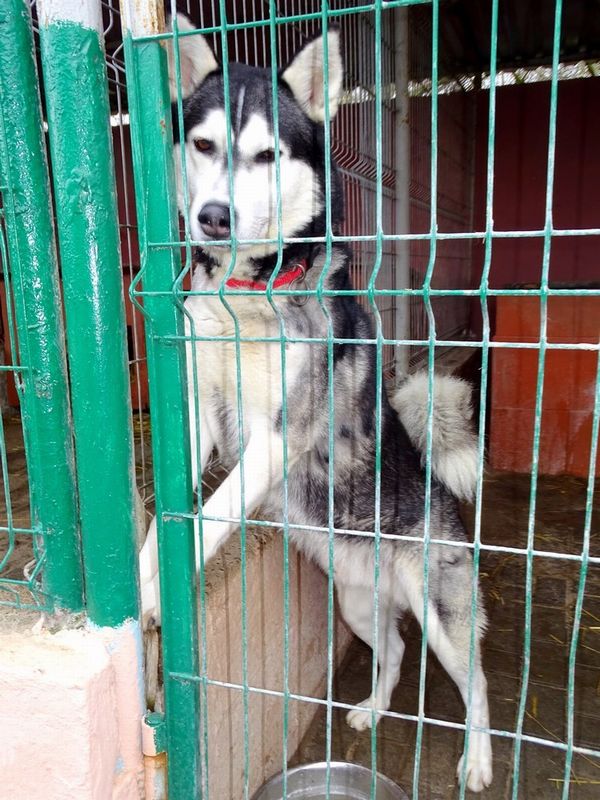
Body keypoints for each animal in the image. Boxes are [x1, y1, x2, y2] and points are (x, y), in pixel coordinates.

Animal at [139, 14, 492, 792]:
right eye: (204, 145)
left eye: (267, 155)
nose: (213, 217)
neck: (248, 295)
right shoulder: (201, 415)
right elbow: (166, 516)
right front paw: (146, 570)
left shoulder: (274, 439)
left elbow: (210, 518)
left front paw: (156, 592)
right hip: (357, 602)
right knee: (393, 649)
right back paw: (370, 710)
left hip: (442, 612)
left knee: (475, 680)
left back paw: (479, 760)